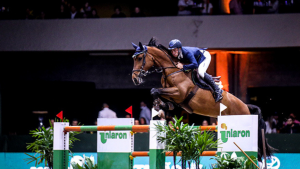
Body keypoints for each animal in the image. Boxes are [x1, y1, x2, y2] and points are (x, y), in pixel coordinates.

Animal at [130, 37, 276, 162]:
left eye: (140, 58)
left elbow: (155, 90)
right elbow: (158, 93)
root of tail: (246, 107)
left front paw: (157, 105)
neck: (171, 70)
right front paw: (161, 107)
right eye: (134, 58)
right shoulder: (174, 96)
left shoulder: (180, 92)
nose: (135, 79)